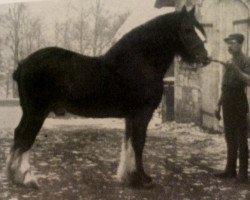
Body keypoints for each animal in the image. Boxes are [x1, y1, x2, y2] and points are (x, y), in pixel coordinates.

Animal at [6, 5, 209, 188]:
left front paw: (128, 177)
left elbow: (128, 143)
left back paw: (13, 175)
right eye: (187, 29)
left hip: (29, 112)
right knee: (26, 138)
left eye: (200, 28)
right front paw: (142, 179)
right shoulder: (142, 114)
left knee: (19, 135)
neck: (140, 61)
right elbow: (138, 143)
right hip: (36, 113)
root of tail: (22, 65)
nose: (206, 58)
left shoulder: (131, 116)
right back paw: (27, 179)